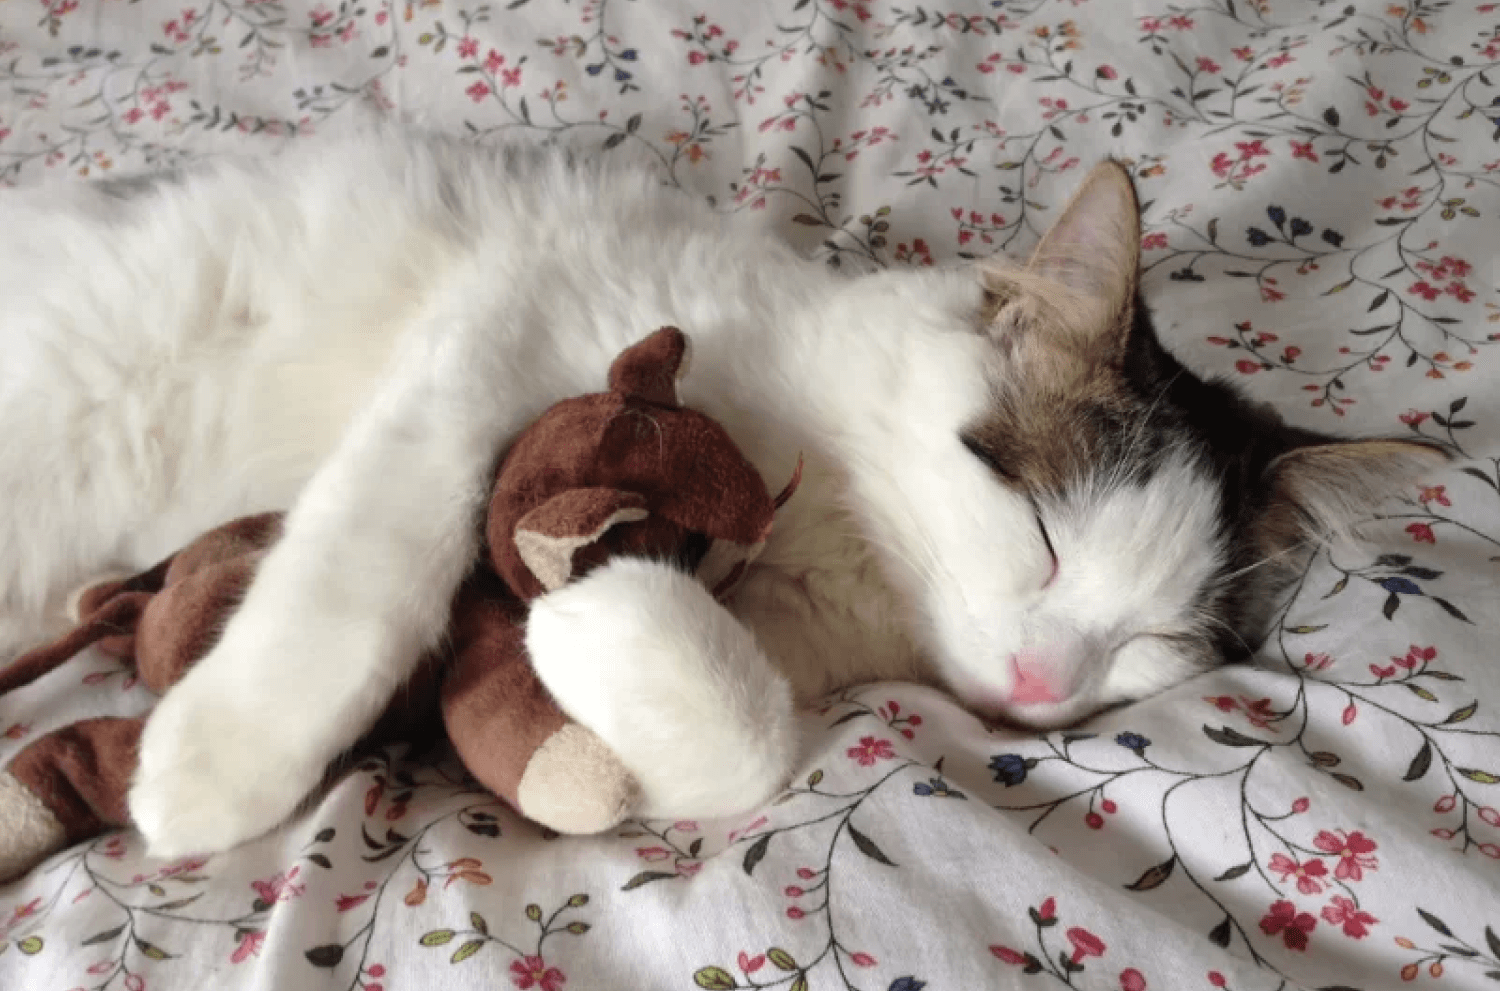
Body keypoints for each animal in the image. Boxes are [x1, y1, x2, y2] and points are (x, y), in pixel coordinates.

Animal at [0, 129, 1434, 857]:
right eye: (1040, 534)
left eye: (1156, 644)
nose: (1041, 686)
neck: (842, 539)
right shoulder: (503, 337)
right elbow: (363, 574)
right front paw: (219, 763)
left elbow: (741, 745)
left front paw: (591, 618)